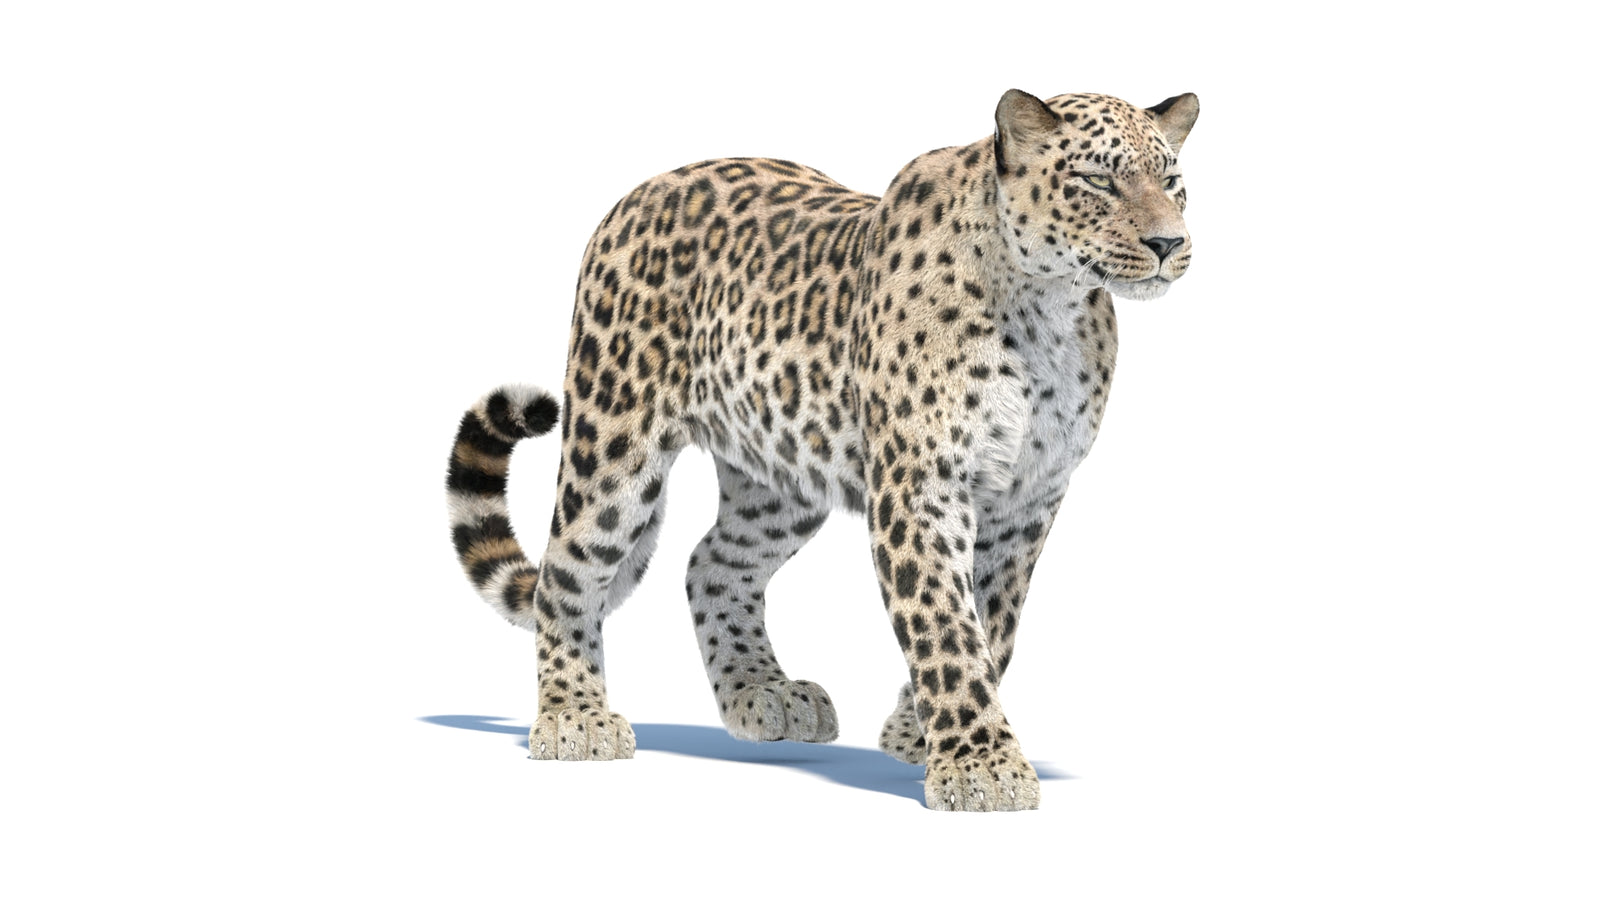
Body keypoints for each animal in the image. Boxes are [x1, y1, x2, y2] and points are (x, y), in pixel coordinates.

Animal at [446, 89, 1199, 811]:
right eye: (1098, 180)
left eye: (1172, 181)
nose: (1170, 243)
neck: (1049, 310)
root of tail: (641, 190)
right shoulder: (922, 488)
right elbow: (946, 626)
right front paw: (981, 767)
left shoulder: (1029, 498)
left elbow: (995, 622)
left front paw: (917, 733)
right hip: (614, 445)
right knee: (567, 574)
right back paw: (573, 718)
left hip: (780, 467)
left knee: (711, 563)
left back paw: (763, 693)